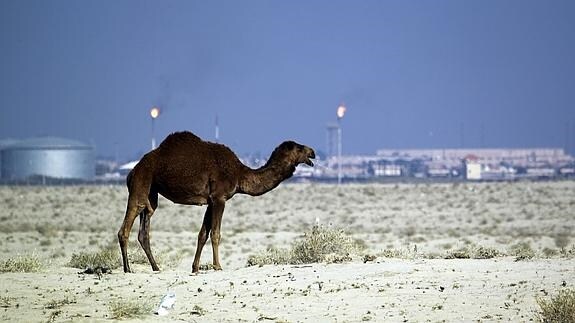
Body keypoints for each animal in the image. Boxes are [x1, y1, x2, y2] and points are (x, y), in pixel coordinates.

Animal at [116, 131, 316, 274]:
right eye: (299, 148)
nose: (313, 152)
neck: (239, 173)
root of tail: (131, 171)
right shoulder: (220, 198)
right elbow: (216, 234)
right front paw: (218, 266)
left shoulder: (211, 201)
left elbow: (203, 234)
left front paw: (195, 268)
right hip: (141, 183)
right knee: (126, 226)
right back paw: (128, 269)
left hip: (152, 193)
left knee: (145, 228)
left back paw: (156, 268)